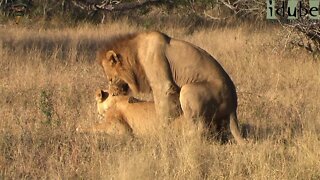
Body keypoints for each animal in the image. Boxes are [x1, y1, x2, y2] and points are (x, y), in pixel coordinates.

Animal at [99, 30, 246, 143]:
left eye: (110, 78)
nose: (112, 92)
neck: (136, 53)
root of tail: (233, 107)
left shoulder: (163, 84)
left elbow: (161, 110)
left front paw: (161, 133)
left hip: (188, 89)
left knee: (200, 129)